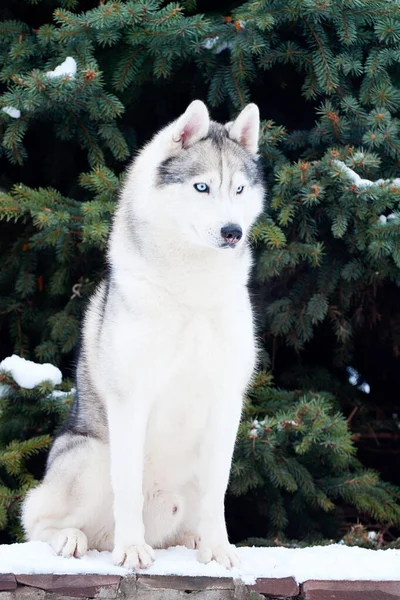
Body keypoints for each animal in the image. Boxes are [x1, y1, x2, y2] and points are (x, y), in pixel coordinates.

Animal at [21, 102, 266, 572]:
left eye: (239, 189)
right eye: (202, 186)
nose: (233, 232)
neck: (191, 291)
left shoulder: (227, 402)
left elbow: (218, 492)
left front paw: (219, 550)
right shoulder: (131, 401)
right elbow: (128, 489)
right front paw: (132, 551)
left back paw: (193, 541)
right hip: (90, 457)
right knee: (37, 521)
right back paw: (75, 540)